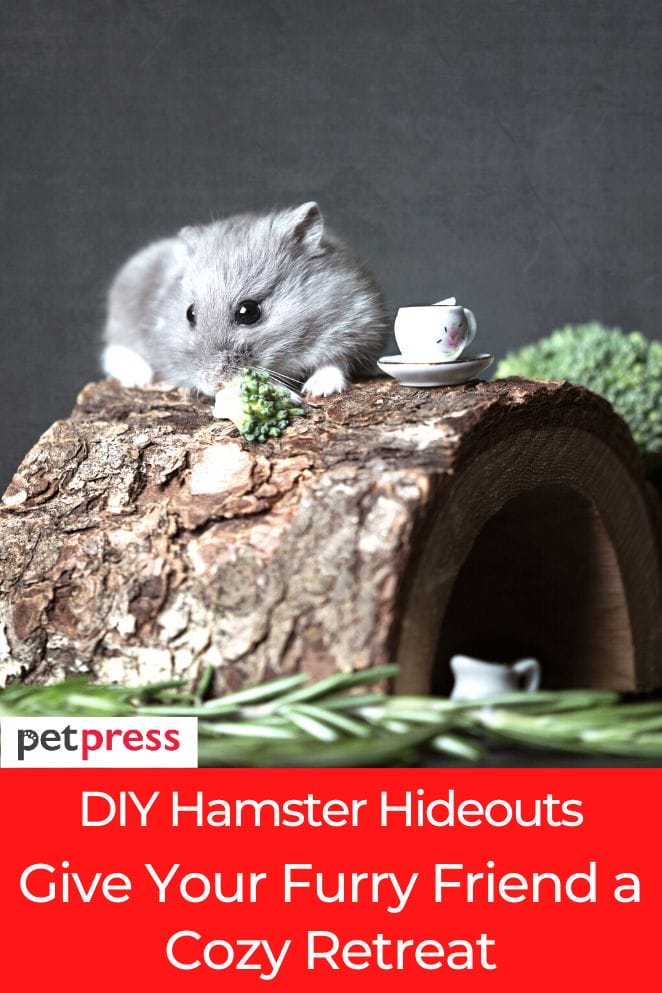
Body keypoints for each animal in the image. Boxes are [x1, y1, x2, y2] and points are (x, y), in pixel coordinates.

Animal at [101, 201, 390, 398]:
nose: (213, 385)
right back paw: (139, 377)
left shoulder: (360, 324)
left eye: (248, 312)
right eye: (189, 313)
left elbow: (336, 362)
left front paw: (317, 390)